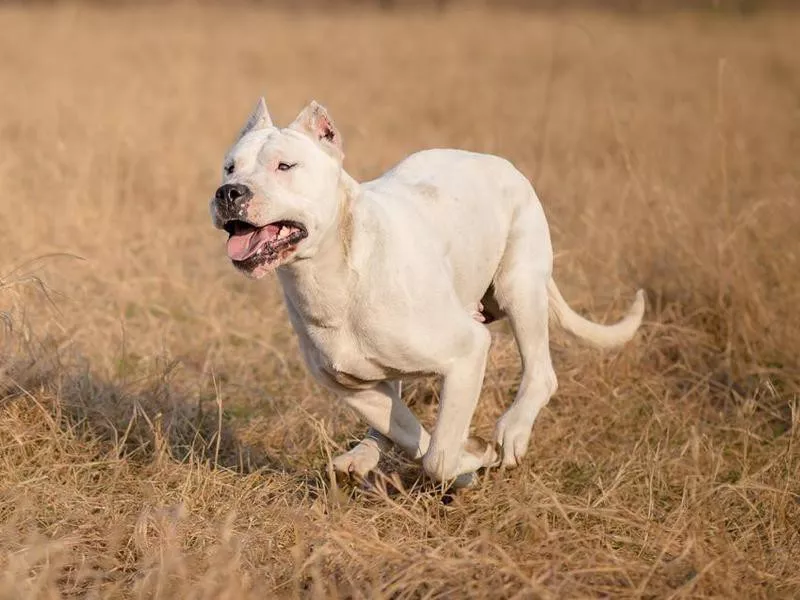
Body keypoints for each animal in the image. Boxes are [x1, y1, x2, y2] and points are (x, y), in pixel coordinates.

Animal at [208, 96, 644, 486]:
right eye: (229, 167)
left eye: (285, 165)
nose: (229, 192)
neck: (331, 275)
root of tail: (496, 161)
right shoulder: (349, 386)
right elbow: (410, 432)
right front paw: (466, 463)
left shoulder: (468, 351)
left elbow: (438, 455)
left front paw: (474, 457)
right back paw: (363, 454)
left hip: (519, 288)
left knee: (541, 372)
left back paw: (512, 432)